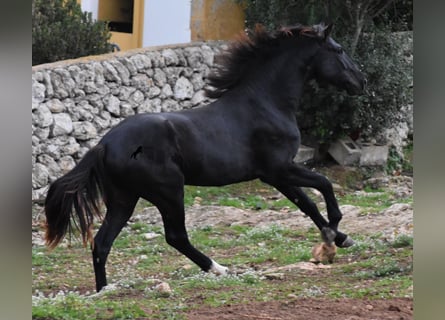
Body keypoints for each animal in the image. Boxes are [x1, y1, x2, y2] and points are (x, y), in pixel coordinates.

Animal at [45, 22, 364, 292]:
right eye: (338, 50)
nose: (360, 82)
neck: (265, 104)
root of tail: (105, 145)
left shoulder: (275, 176)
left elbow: (307, 203)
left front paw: (339, 239)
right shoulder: (279, 169)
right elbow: (324, 185)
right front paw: (331, 238)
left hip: (124, 199)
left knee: (102, 242)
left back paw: (104, 290)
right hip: (168, 191)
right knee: (175, 236)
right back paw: (218, 268)